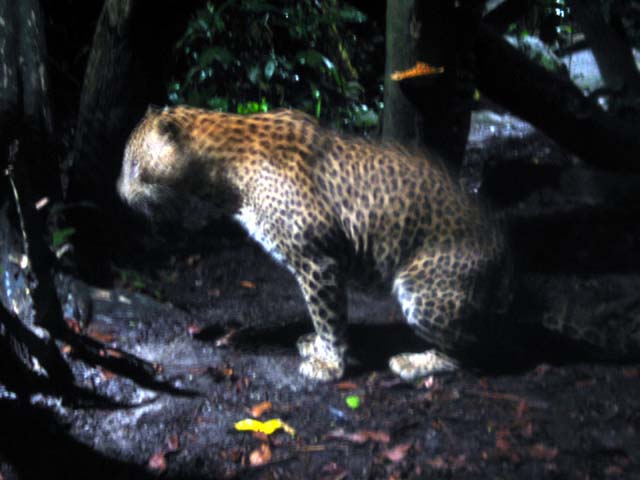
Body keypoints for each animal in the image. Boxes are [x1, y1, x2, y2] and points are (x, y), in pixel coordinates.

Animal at [115, 105, 514, 381]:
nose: (119, 194)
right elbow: (323, 317)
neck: (221, 175)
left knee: (470, 348)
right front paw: (317, 348)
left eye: (133, 165)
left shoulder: (317, 262)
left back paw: (414, 362)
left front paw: (330, 365)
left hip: (422, 289)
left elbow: (328, 317)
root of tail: (501, 245)